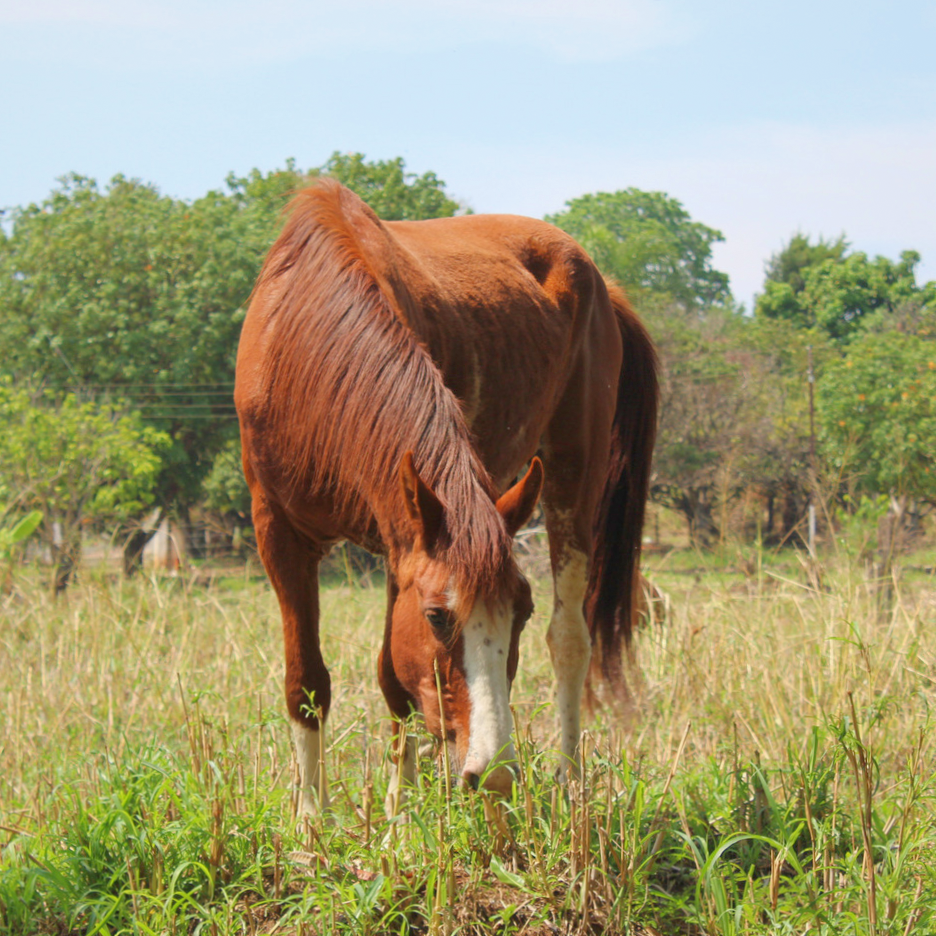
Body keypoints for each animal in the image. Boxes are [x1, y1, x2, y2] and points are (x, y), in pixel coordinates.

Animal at [234, 179, 660, 816]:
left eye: (520, 612)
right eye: (437, 616)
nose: (497, 773)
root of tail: (602, 285)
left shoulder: (398, 539)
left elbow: (392, 676)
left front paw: (397, 811)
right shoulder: (279, 531)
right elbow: (307, 679)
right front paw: (312, 818)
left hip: (573, 473)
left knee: (569, 638)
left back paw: (567, 783)